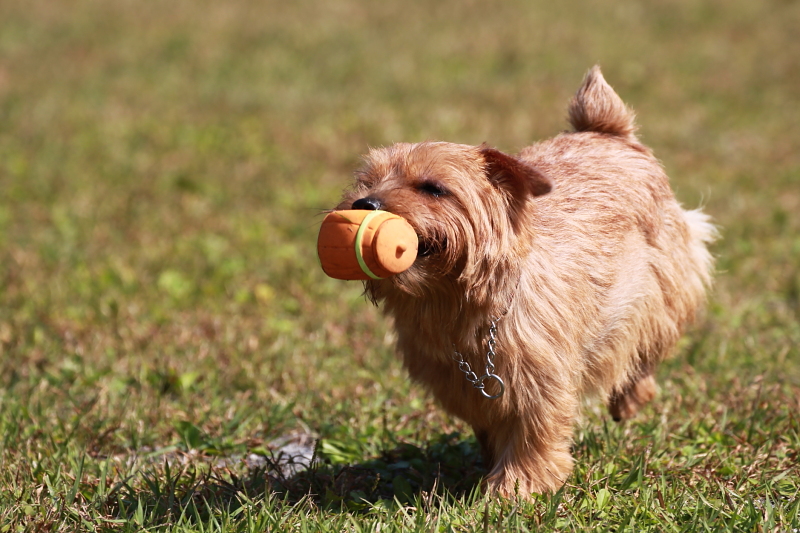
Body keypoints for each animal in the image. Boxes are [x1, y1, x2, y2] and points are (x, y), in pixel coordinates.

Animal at [334, 66, 716, 494]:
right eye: (367, 183)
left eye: (433, 188)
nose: (364, 204)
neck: (461, 309)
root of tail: (605, 132)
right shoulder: (468, 388)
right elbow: (491, 426)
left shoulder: (540, 379)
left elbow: (534, 433)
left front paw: (516, 488)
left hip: (664, 288)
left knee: (647, 346)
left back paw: (630, 396)